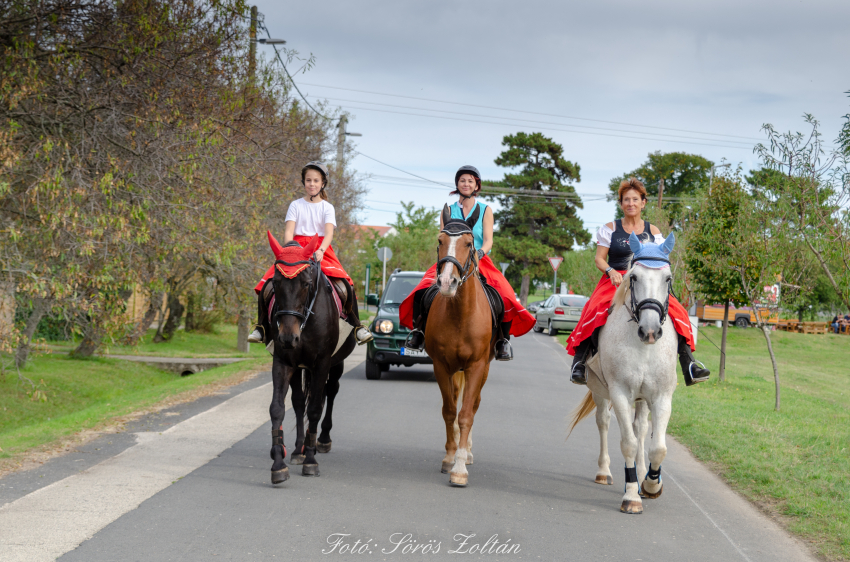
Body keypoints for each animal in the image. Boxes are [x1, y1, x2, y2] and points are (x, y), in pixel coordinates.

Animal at [424, 202, 496, 486]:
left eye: (468, 243)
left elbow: (466, 414)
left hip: (483, 369)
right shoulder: (441, 366)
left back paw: (468, 453)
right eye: (439, 241)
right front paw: (449, 458)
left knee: (472, 405)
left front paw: (460, 468)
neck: (460, 314)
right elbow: (449, 410)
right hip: (455, 370)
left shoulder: (476, 366)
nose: (446, 282)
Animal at [568, 231, 680, 512]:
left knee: (640, 428)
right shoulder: (619, 393)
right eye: (634, 277)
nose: (650, 331)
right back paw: (604, 472)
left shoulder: (661, 397)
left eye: (668, 278)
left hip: (642, 398)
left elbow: (658, 447)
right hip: (600, 392)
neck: (643, 347)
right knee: (604, 422)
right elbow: (627, 443)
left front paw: (651, 484)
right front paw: (631, 496)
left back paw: (641, 475)